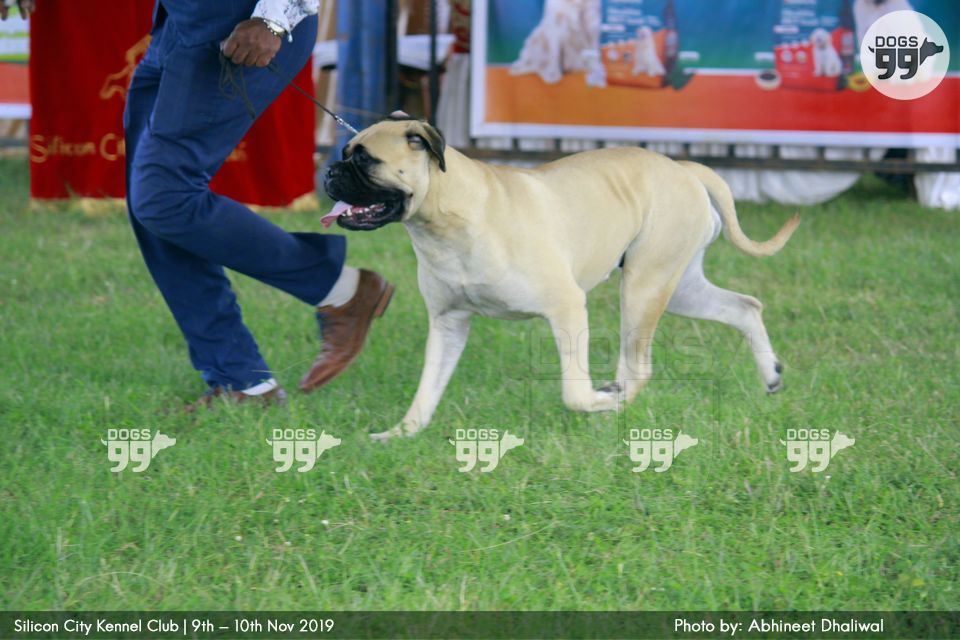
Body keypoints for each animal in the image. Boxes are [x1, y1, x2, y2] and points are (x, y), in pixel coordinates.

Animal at [321, 115, 799, 440]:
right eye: (346, 155)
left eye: (365, 160)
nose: (329, 172)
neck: (448, 217)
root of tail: (682, 167)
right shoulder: (448, 323)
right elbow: (427, 388)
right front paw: (402, 432)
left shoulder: (567, 308)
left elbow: (574, 392)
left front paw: (597, 400)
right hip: (680, 286)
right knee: (744, 306)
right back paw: (771, 374)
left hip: (644, 288)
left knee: (637, 367)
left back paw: (613, 405)